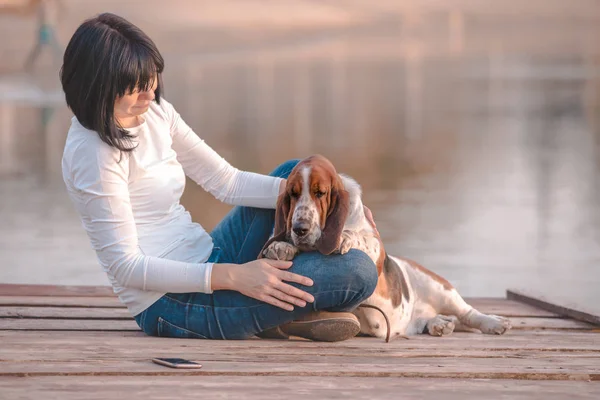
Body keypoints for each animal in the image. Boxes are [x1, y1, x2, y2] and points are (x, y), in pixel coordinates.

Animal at [258, 155, 510, 340]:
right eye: (293, 194)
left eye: (320, 193)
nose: (300, 229)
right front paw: (281, 245)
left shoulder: (375, 251)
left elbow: (361, 238)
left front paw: (343, 238)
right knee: (439, 320)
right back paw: (439, 323)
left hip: (440, 288)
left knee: (467, 313)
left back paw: (494, 322)